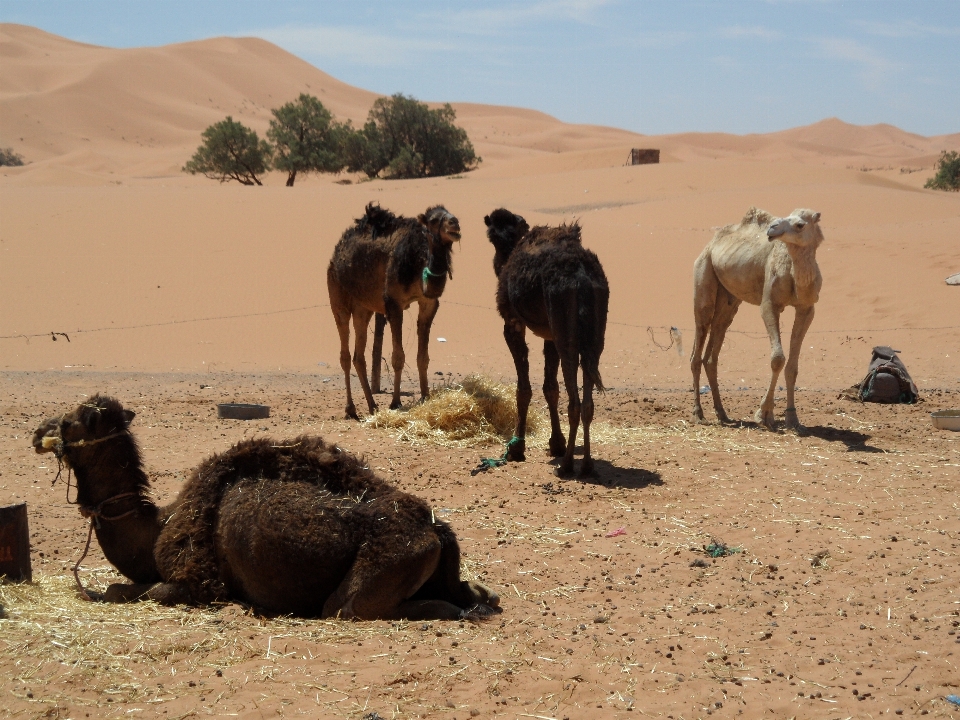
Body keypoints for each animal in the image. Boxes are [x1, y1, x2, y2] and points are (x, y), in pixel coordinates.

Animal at [33, 394, 498, 620]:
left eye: (71, 421)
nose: (38, 432)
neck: (160, 524)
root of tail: (436, 529)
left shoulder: (195, 582)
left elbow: (124, 590)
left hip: (373, 577)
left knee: (348, 608)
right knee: (474, 591)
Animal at [326, 202, 462, 420]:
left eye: (450, 213)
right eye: (433, 220)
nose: (454, 223)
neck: (418, 260)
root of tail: (337, 252)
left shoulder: (429, 303)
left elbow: (423, 357)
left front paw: (425, 396)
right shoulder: (394, 303)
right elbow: (398, 357)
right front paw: (395, 402)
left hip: (363, 307)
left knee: (358, 356)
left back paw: (372, 405)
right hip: (338, 296)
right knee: (345, 353)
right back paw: (351, 409)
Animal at [484, 208, 612, 478]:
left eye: (492, 238)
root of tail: (582, 277)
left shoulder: (512, 322)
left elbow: (523, 388)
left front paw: (517, 448)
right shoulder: (549, 334)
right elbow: (550, 388)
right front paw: (556, 443)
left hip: (564, 323)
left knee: (574, 396)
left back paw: (567, 466)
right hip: (594, 332)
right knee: (588, 393)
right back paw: (586, 465)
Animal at [688, 208, 824, 434]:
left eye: (800, 225)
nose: (772, 229)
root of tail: (711, 244)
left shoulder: (807, 309)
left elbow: (792, 366)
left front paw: (793, 419)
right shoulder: (769, 305)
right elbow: (778, 358)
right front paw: (764, 415)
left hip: (729, 299)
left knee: (715, 343)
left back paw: (722, 413)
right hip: (703, 273)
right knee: (698, 342)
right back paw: (698, 414)